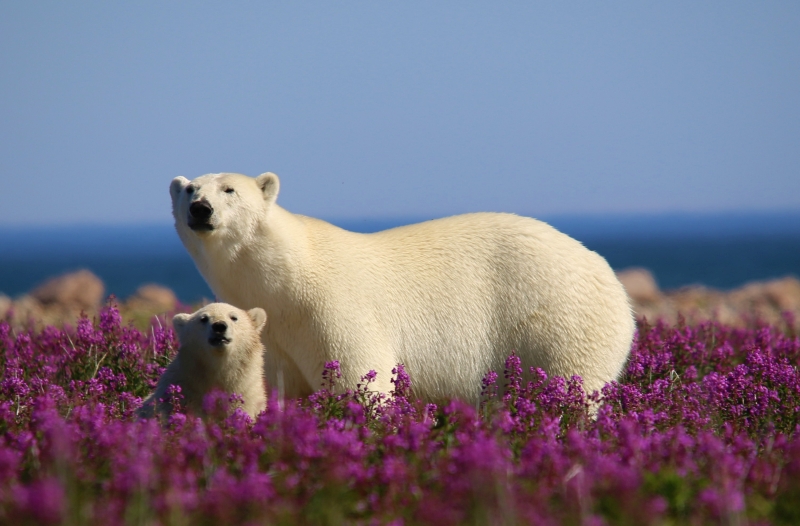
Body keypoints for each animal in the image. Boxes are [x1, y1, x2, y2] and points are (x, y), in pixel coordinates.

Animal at [172, 173, 636, 404]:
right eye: (190, 189)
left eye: (230, 189)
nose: (200, 208)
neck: (283, 279)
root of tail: (609, 275)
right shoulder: (275, 336)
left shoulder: (332, 309)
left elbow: (360, 378)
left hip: (558, 320)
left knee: (571, 386)